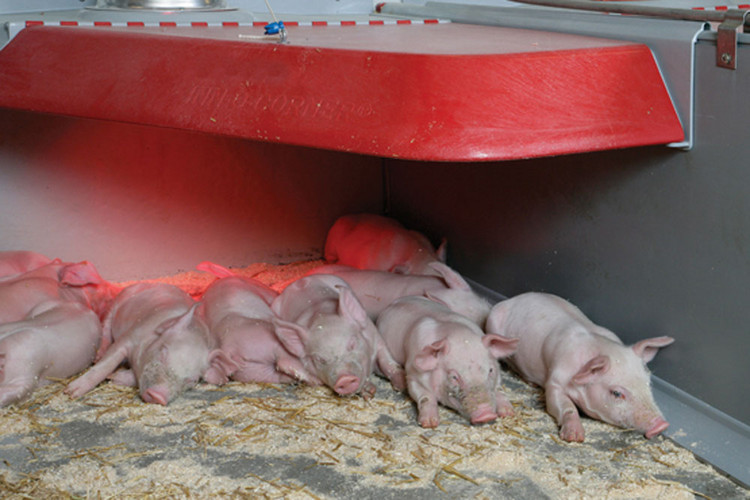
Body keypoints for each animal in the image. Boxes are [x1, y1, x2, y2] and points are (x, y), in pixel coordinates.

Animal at [66, 282, 231, 405]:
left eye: (193, 380)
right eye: (163, 352)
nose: (158, 396)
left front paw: (114, 377)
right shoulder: (130, 336)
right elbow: (107, 363)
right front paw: (71, 392)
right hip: (115, 304)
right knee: (106, 327)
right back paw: (97, 356)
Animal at [271, 274, 406, 398]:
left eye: (352, 344)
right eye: (320, 359)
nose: (344, 379)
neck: (322, 315)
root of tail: (299, 281)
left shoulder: (375, 336)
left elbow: (387, 361)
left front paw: (402, 385)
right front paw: (369, 391)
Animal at [376, 296, 518, 427]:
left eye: (490, 370)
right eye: (454, 377)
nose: (486, 415)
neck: (457, 333)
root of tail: (395, 302)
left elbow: (499, 390)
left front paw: (508, 412)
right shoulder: (413, 375)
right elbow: (426, 397)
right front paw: (430, 423)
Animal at [485, 292, 674, 442]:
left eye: (648, 384)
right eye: (616, 393)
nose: (661, 425)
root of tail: (513, 299)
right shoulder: (555, 380)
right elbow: (564, 406)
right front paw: (574, 437)